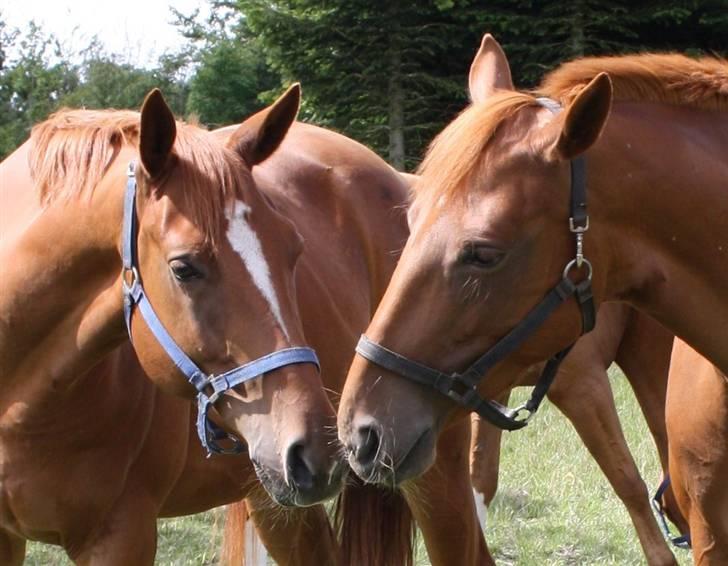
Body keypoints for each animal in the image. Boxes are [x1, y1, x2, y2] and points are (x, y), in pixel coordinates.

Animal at [340, 33, 728, 564]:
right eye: (410, 220)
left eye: (484, 253)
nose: (361, 432)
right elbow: (482, 477)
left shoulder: (582, 383)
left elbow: (628, 482)